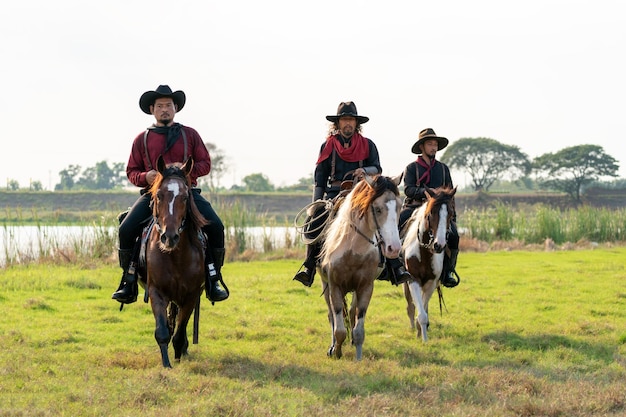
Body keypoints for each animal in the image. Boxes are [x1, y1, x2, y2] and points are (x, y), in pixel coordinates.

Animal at [139, 154, 207, 366]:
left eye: (185, 197)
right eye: (159, 195)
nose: (169, 237)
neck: (176, 257)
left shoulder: (192, 294)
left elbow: (179, 331)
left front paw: (178, 356)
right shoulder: (156, 292)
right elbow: (162, 331)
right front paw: (166, 364)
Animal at [320, 174, 402, 360]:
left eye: (399, 207)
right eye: (377, 209)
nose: (394, 248)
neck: (353, 249)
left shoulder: (365, 287)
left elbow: (359, 327)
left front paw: (358, 356)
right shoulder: (334, 286)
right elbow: (339, 328)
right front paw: (336, 351)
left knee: (351, 312)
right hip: (325, 285)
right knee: (332, 315)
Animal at [400, 185, 454, 342]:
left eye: (450, 214)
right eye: (430, 214)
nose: (439, 245)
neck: (424, 252)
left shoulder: (432, 283)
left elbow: (424, 310)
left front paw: (422, 334)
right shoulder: (413, 280)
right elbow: (421, 313)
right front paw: (423, 338)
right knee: (410, 304)